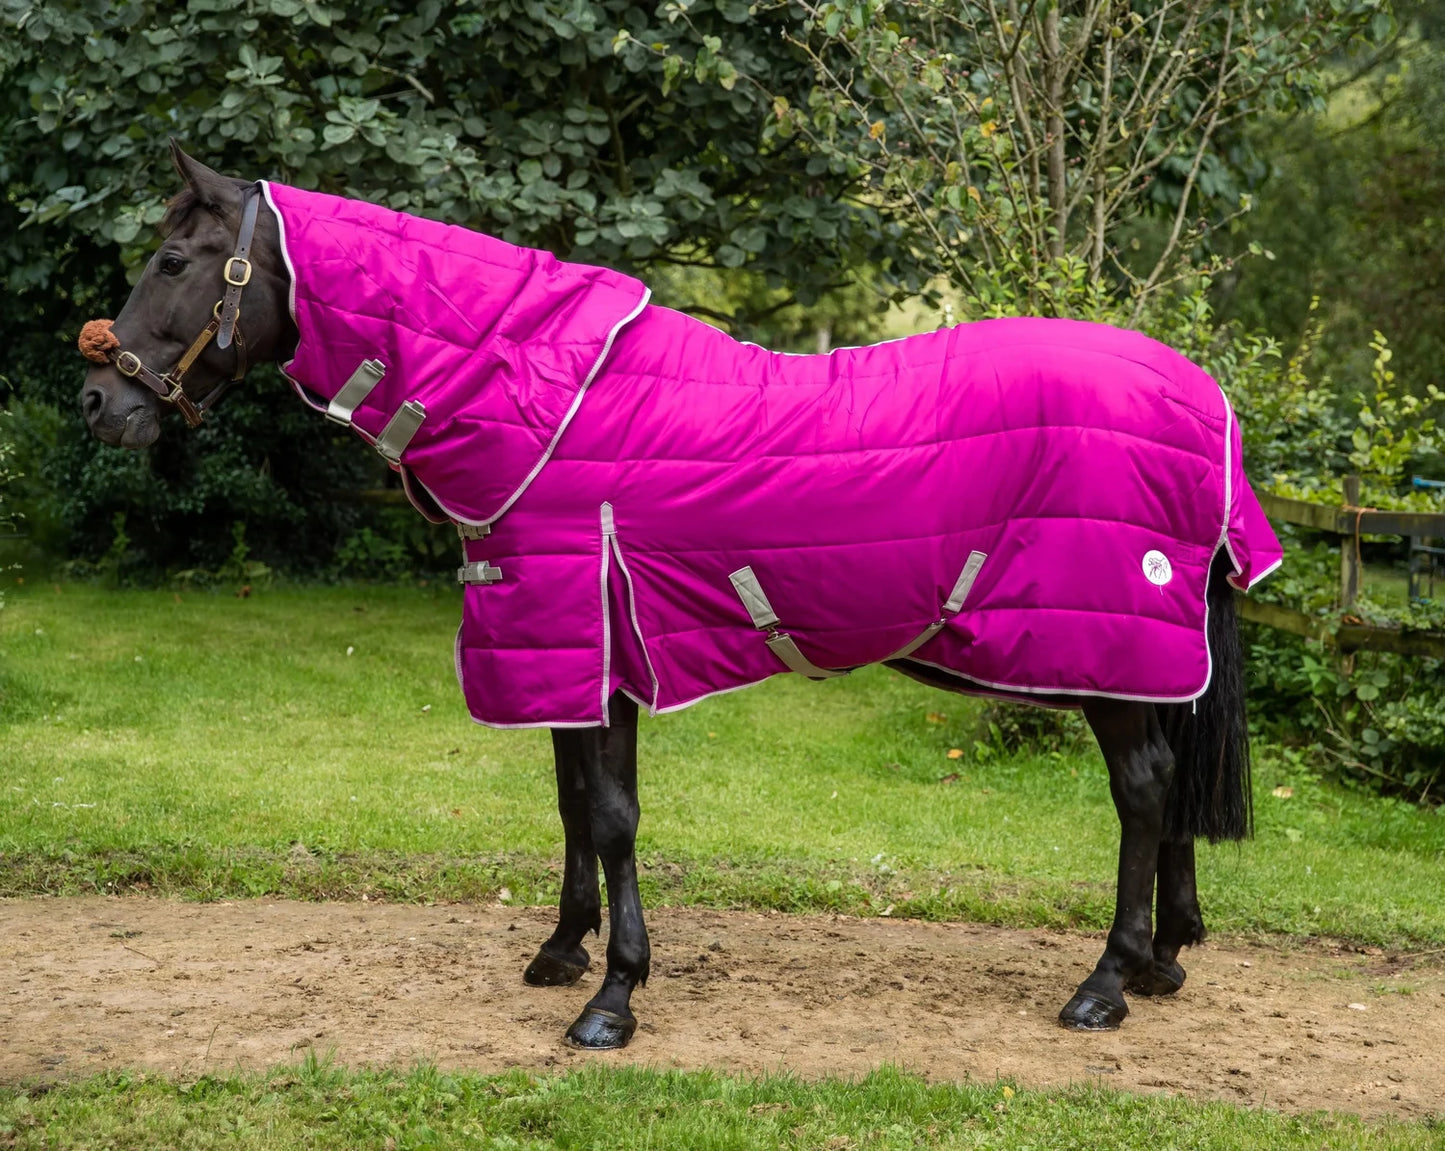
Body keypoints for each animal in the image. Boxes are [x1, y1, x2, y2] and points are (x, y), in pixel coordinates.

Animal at [78, 143, 1281, 1050]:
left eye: (175, 257)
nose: (98, 401)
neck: (546, 393)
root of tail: (1200, 395)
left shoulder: (586, 632)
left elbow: (610, 814)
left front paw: (613, 999)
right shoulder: (564, 648)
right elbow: (572, 802)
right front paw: (561, 951)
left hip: (1106, 648)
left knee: (1143, 788)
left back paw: (1105, 981)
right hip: (1148, 656)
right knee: (1169, 787)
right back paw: (1164, 958)